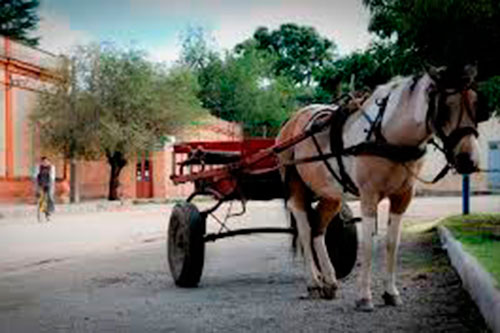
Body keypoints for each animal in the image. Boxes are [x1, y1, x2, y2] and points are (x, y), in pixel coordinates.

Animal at [274, 64, 488, 308]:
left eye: (476, 105)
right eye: (444, 107)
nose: (468, 160)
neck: (388, 134)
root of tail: (292, 121)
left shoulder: (403, 196)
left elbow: (392, 243)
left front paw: (391, 292)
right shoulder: (369, 195)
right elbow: (369, 243)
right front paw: (364, 297)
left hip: (331, 194)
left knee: (318, 229)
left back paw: (329, 280)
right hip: (296, 188)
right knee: (304, 229)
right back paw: (313, 283)